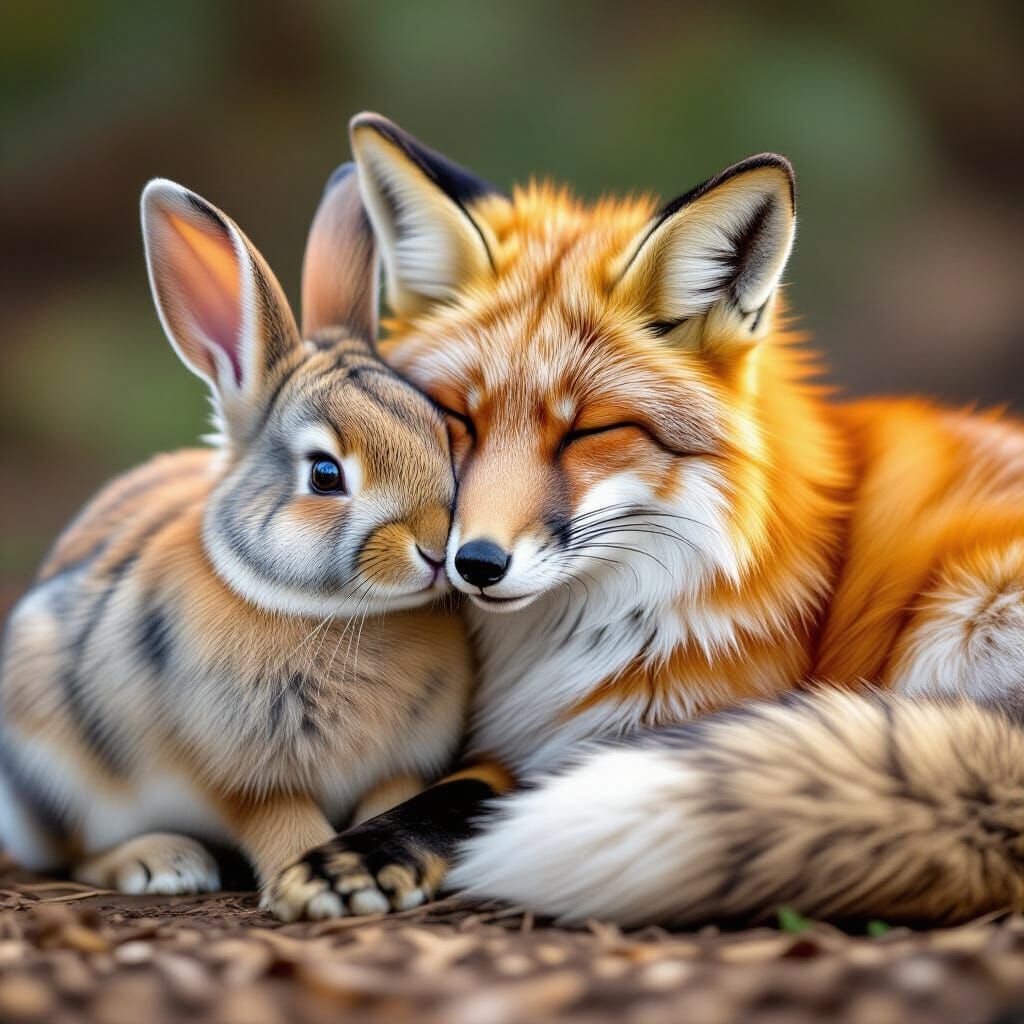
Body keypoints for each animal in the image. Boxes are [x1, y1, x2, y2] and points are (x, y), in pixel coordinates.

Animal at [0, 164, 473, 918]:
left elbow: (391, 802)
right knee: (73, 852)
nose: (435, 550)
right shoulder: (243, 776)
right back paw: (161, 863)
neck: (334, 614)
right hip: (56, 773)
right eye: (326, 474)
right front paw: (306, 885)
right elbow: (277, 818)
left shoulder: (402, 764)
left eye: (442, 433)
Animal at [268, 113, 1024, 928]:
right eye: (456, 418)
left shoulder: (673, 723)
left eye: (589, 432)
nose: (475, 564)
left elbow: (481, 794)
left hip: (964, 613)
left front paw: (367, 851)